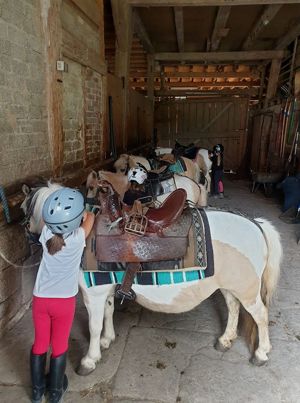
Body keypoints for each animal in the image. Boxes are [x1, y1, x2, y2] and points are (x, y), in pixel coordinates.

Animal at [21, 181, 284, 378]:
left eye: (24, 209)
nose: (29, 235)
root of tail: (256, 224)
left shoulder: (93, 292)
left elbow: (94, 326)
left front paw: (89, 359)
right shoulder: (106, 286)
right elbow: (108, 312)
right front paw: (107, 340)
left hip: (247, 290)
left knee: (260, 315)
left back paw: (261, 353)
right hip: (230, 286)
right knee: (233, 308)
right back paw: (225, 340)